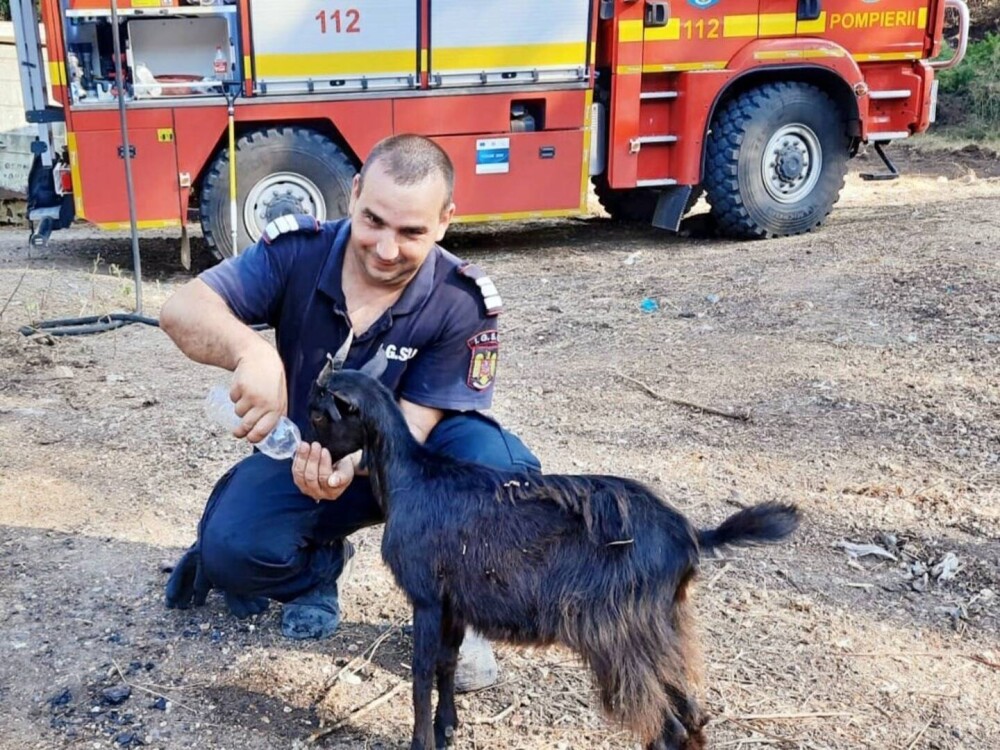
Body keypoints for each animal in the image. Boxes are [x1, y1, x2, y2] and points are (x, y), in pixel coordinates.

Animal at [308, 340, 800, 750]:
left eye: (319, 413)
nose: (307, 452)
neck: (414, 477)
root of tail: (692, 535)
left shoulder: (427, 596)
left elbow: (421, 673)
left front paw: (423, 741)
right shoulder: (454, 601)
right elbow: (447, 663)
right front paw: (448, 729)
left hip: (621, 634)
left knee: (668, 727)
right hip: (665, 628)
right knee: (692, 715)